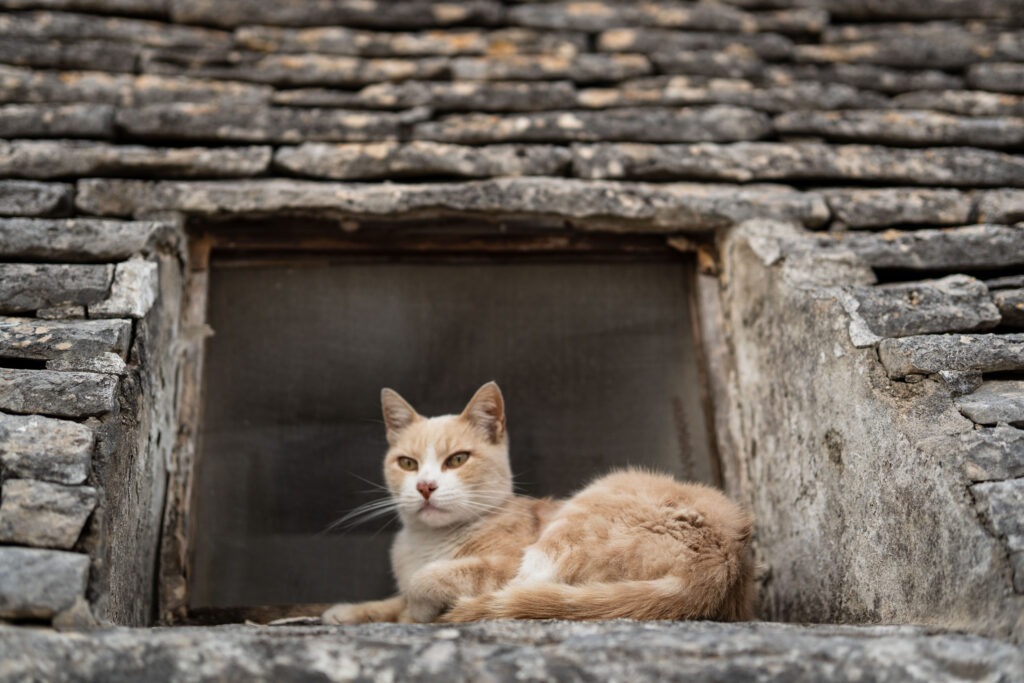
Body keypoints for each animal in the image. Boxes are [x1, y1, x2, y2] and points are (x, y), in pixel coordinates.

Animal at [323, 382, 757, 622]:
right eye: (408, 463)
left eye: (457, 460)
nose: (425, 486)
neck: (428, 543)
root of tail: (722, 563)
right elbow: (392, 598)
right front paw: (351, 611)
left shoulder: (499, 563)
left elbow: (423, 582)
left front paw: (416, 609)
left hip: (574, 522)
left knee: (522, 592)